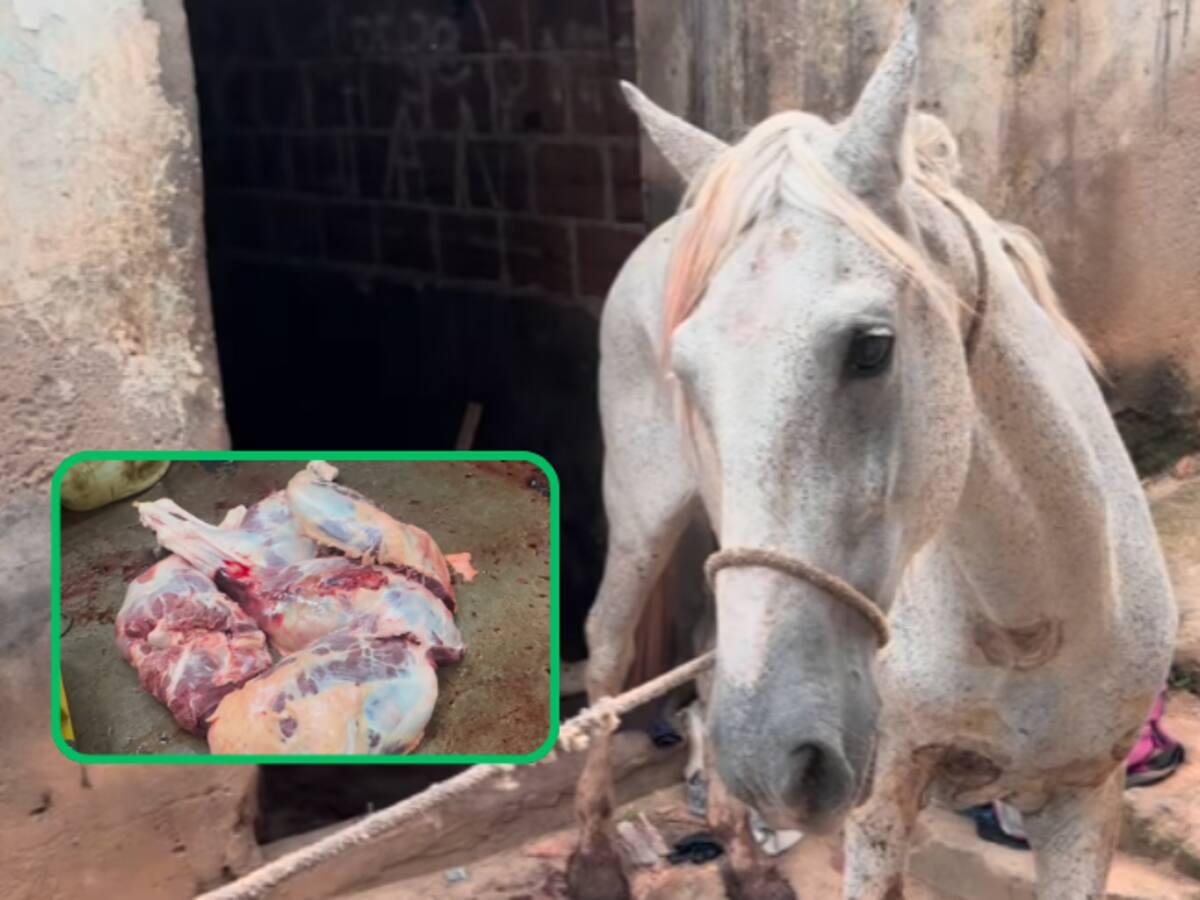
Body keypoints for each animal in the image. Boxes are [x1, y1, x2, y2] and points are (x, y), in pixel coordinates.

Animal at [567, 7, 1177, 899]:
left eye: (872, 348)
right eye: (687, 370)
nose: (776, 763)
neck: (1025, 626)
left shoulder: (1082, 801)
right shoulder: (883, 800)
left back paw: (745, 858)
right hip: (645, 512)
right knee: (609, 654)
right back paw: (593, 856)